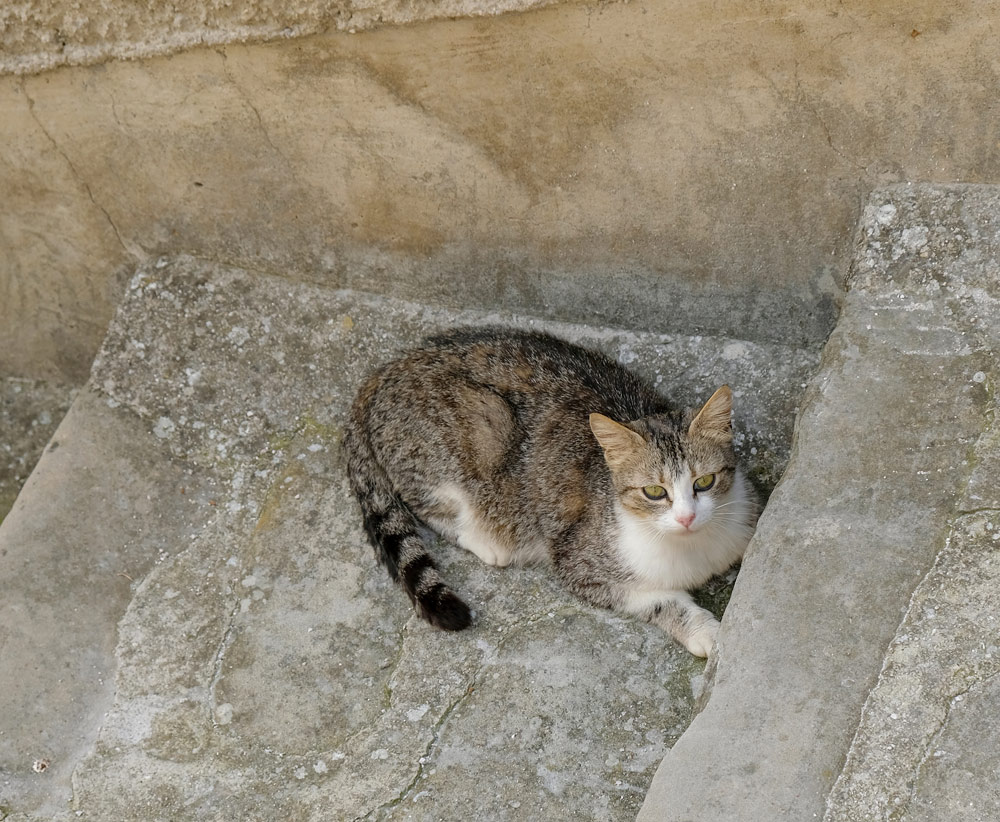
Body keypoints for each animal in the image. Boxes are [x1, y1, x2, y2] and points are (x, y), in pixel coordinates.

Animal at [344, 326, 756, 656]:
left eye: (704, 482)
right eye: (654, 491)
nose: (686, 517)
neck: (691, 550)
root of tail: (388, 368)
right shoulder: (581, 566)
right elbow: (659, 601)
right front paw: (705, 631)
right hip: (481, 429)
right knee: (423, 501)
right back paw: (486, 540)